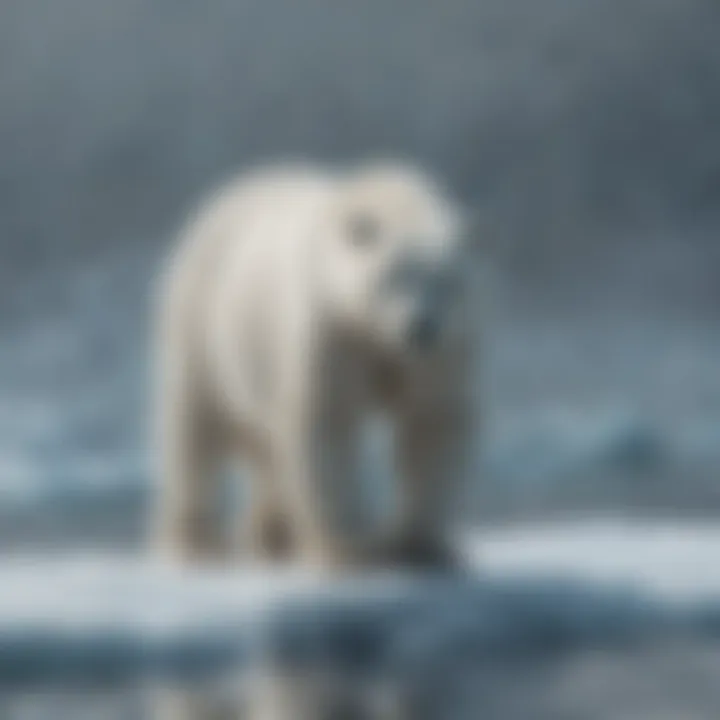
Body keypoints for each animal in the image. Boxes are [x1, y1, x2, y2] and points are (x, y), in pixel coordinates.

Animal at [153, 160, 484, 572]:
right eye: (396, 276)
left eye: (447, 281)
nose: (422, 327)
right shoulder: (330, 328)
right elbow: (327, 423)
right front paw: (349, 552)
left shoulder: (446, 350)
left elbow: (431, 422)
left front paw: (419, 545)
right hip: (204, 324)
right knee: (197, 429)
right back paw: (196, 544)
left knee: (267, 445)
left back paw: (271, 534)